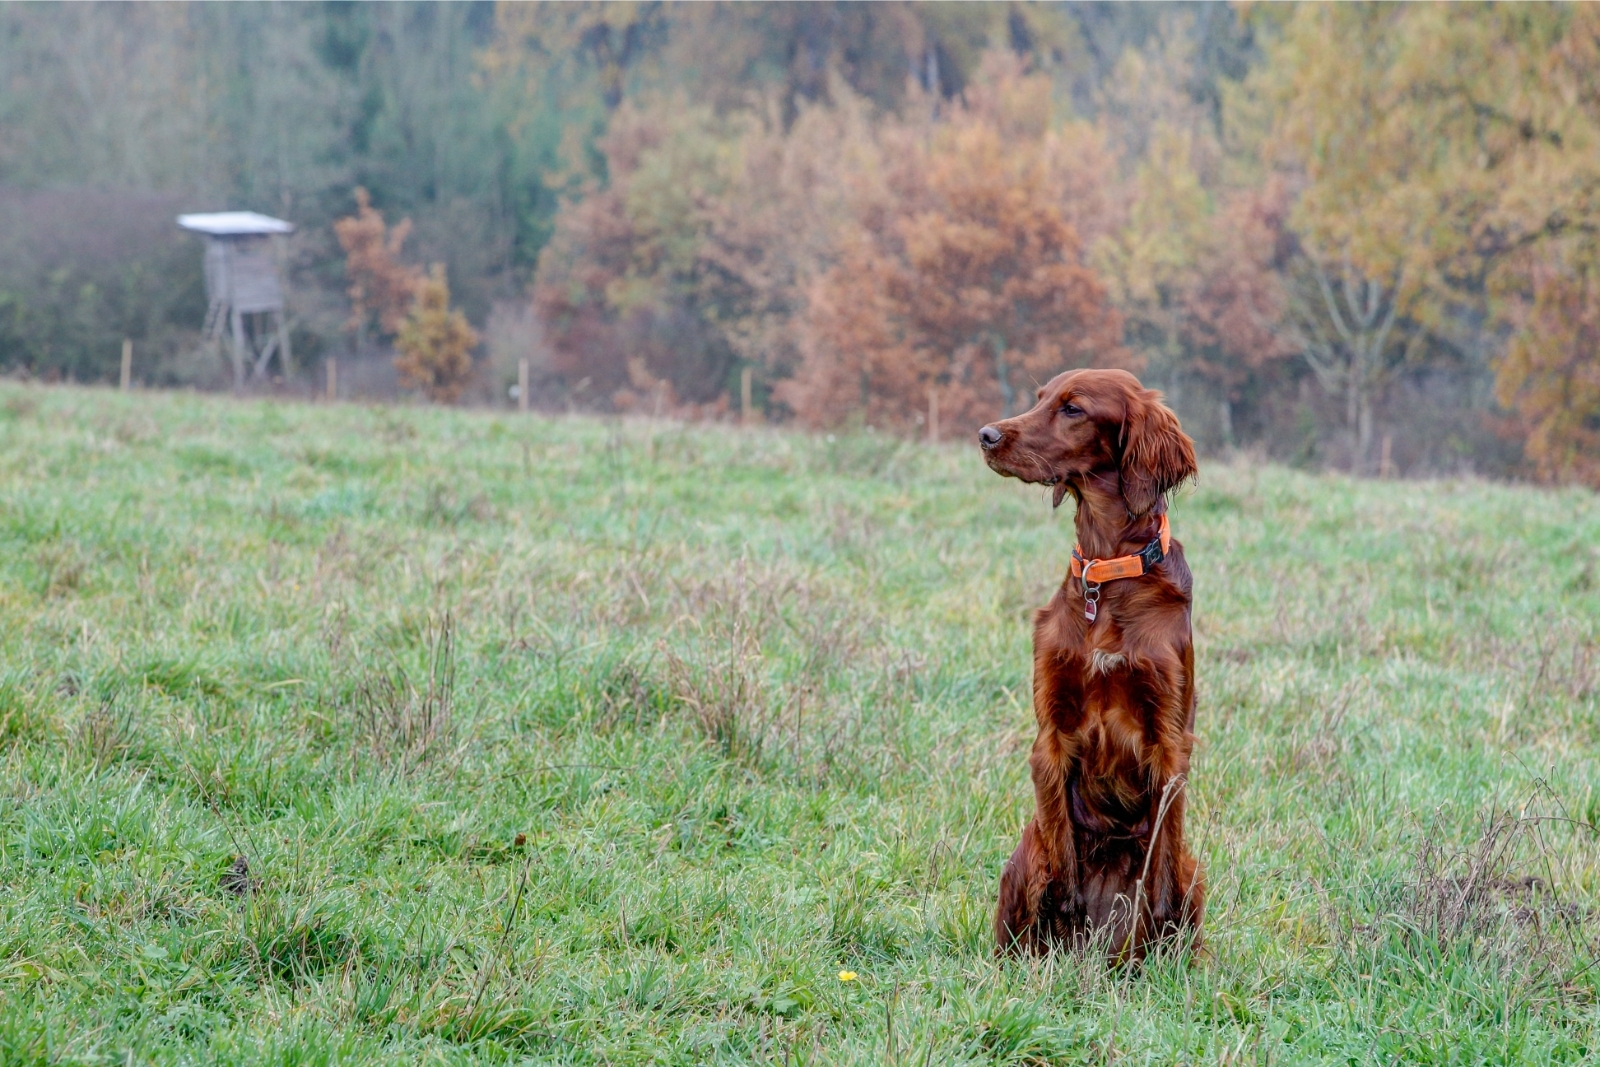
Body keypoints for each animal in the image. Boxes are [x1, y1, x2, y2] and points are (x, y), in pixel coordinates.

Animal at [972, 367, 1203, 959]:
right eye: (1040, 400)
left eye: (1073, 408)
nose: (986, 435)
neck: (1107, 574)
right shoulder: (1051, 734)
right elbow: (1062, 871)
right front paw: (1065, 913)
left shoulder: (1169, 742)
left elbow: (1159, 873)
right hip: (1023, 852)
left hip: (1195, 870)